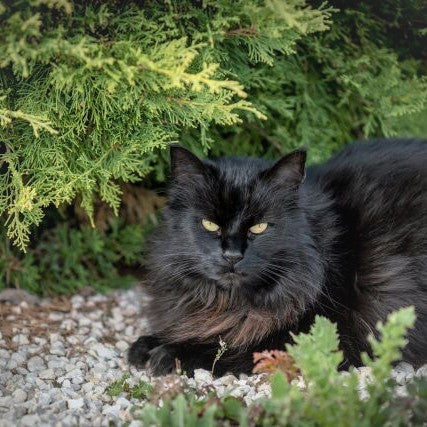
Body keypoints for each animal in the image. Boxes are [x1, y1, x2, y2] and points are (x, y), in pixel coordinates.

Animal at [129, 139, 426, 376]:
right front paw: (145, 344)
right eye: (210, 224)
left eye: (259, 227)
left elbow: (230, 348)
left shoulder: (320, 338)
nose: (232, 255)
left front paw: (171, 353)